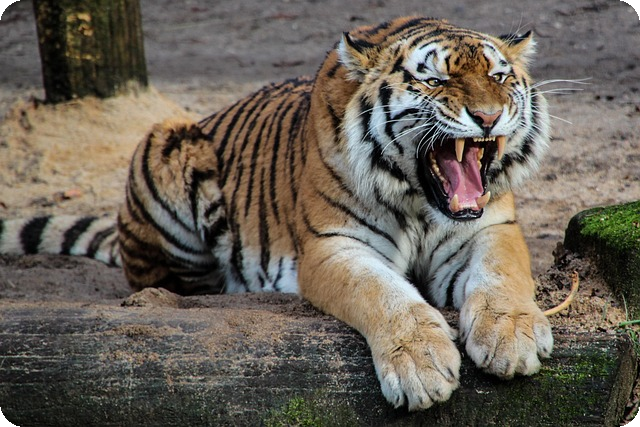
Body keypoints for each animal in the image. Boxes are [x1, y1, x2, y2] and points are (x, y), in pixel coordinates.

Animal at [0, 16, 553, 410]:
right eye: (436, 80)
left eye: (499, 76)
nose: (488, 117)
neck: (420, 200)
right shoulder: (333, 246)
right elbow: (384, 294)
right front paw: (420, 365)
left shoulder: (490, 228)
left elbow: (502, 275)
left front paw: (512, 337)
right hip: (166, 143)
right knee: (166, 282)